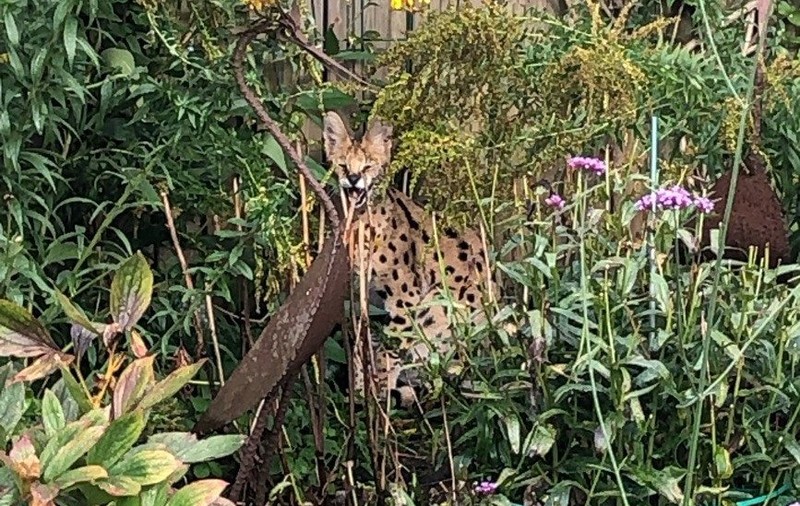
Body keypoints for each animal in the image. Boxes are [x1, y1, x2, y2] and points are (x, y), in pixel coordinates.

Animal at [322, 111, 496, 408]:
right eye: (343, 165)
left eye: (368, 166)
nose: (354, 178)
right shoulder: (361, 299)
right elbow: (362, 348)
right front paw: (361, 391)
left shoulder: (405, 299)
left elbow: (388, 351)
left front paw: (377, 396)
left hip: (439, 301)